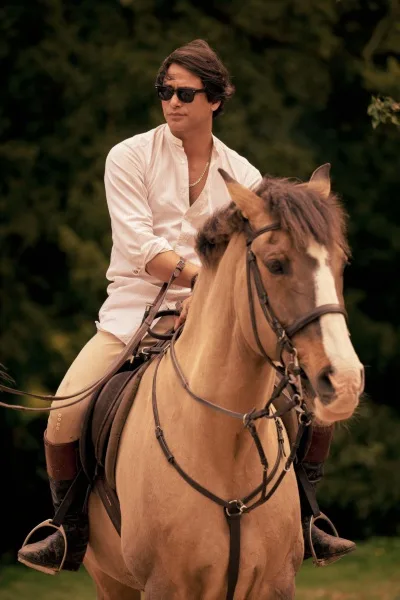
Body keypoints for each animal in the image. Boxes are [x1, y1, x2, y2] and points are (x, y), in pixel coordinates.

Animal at [83, 164, 364, 600]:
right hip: (111, 582)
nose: (345, 381)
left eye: (340, 263)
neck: (224, 442)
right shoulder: (163, 586)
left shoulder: (275, 585)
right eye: (277, 264)